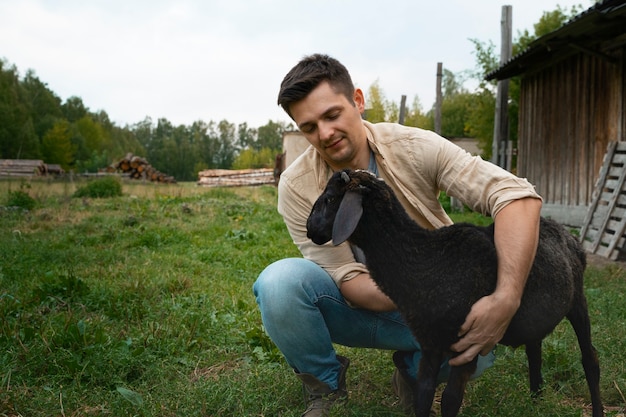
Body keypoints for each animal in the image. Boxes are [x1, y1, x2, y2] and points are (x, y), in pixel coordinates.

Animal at [304, 169, 604, 416]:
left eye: (330, 199)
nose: (309, 230)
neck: (424, 258)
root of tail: (565, 232)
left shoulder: (469, 343)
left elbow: (449, 400)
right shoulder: (430, 343)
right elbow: (424, 392)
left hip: (578, 301)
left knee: (590, 359)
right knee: (534, 351)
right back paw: (535, 401)